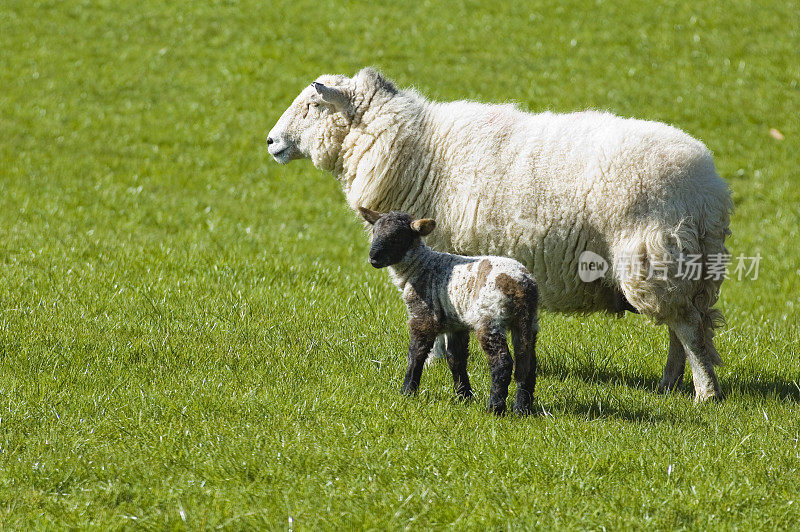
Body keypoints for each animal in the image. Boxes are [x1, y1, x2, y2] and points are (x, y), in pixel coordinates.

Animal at [360, 207, 536, 416]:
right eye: (374, 232)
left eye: (397, 237)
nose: (373, 258)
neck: (419, 266)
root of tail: (521, 284)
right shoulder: (456, 324)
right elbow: (455, 359)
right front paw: (464, 396)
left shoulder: (423, 316)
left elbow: (416, 354)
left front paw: (407, 392)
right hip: (527, 320)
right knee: (527, 361)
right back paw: (522, 409)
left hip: (490, 317)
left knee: (502, 362)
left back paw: (495, 407)